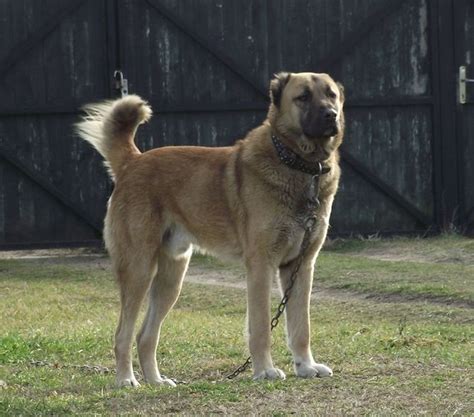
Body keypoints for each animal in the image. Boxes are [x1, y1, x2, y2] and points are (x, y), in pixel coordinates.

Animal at [76, 71, 346, 386]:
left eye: (331, 95)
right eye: (303, 96)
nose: (331, 115)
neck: (298, 165)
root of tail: (134, 161)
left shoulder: (300, 267)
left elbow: (301, 327)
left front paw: (305, 366)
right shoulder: (261, 266)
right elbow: (261, 327)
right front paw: (264, 370)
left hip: (171, 278)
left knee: (146, 336)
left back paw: (156, 381)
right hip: (139, 269)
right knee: (123, 333)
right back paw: (126, 380)